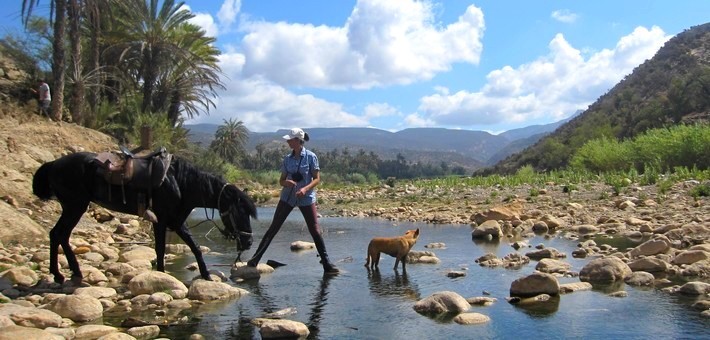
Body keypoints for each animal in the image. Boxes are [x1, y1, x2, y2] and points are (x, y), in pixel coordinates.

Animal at [32, 152, 258, 284]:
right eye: (240, 212)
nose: (248, 242)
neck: (181, 183)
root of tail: (54, 164)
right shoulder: (162, 220)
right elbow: (160, 249)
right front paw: (160, 275)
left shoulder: (177, 222)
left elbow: (195, 247)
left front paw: (206, 275)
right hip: (74, 206)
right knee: (58, 234)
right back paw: (60, 274)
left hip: (74, 207)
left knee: (60, 235)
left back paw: (72, 274)